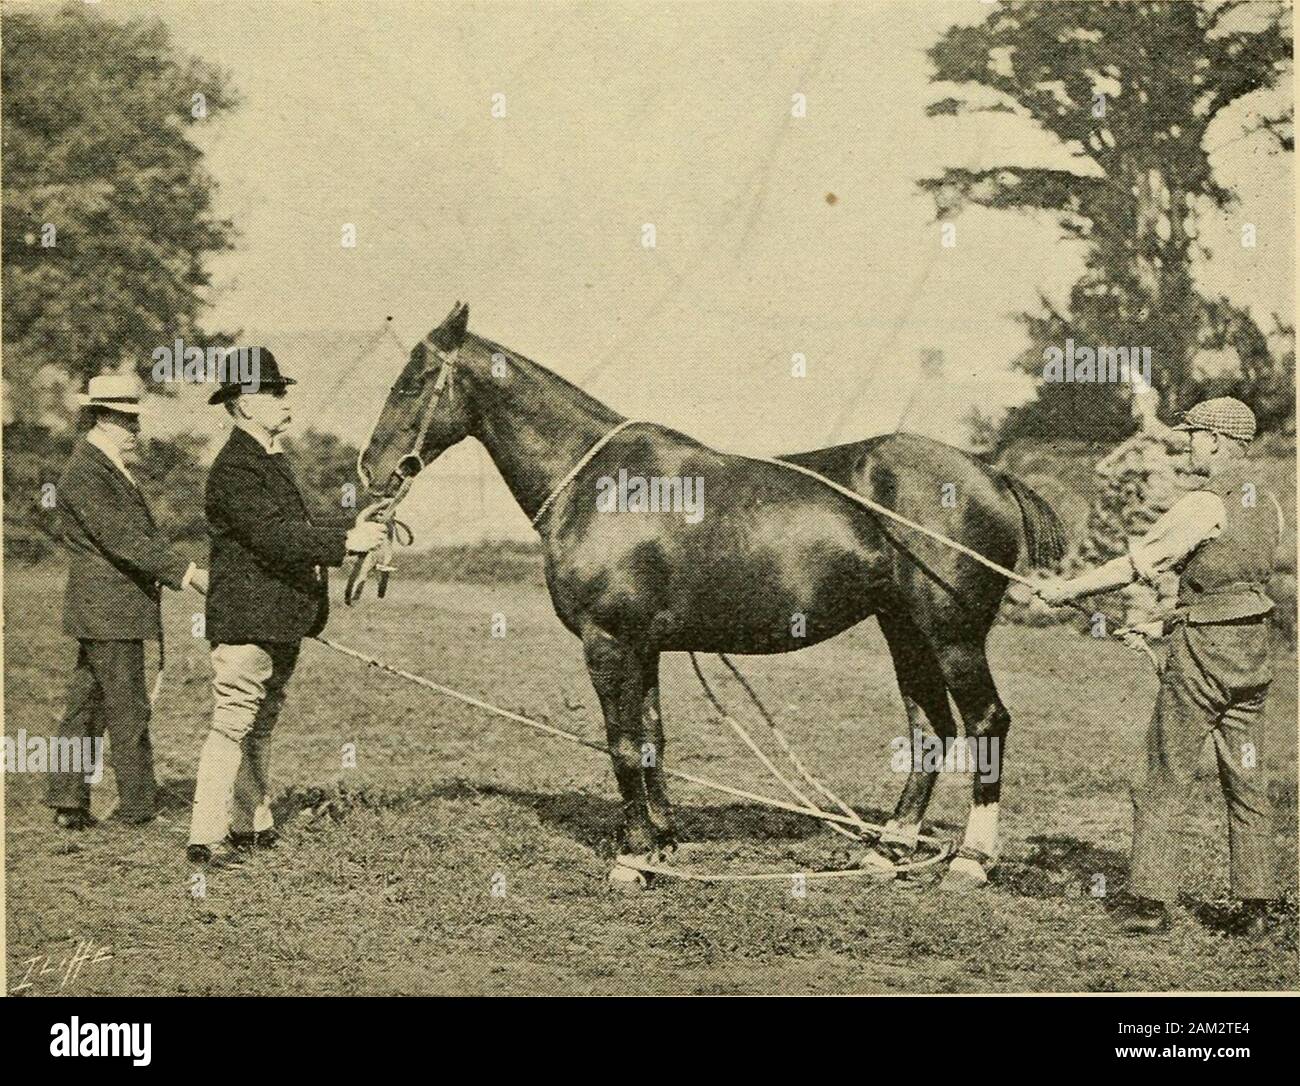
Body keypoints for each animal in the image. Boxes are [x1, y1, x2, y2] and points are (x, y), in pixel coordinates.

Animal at [358, 303, 1066, 889]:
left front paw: (630, 860)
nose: (373, 469)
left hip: (952, 634)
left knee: (985, 722)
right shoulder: (643, 644)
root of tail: (993, 475)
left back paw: (970, 863)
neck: (599, 481)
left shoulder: (608, 642)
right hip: (905, 629)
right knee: (930, 728)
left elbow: (621, 744)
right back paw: (885, 851)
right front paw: (661, 846)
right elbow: (651, 737)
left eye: (414, 380)